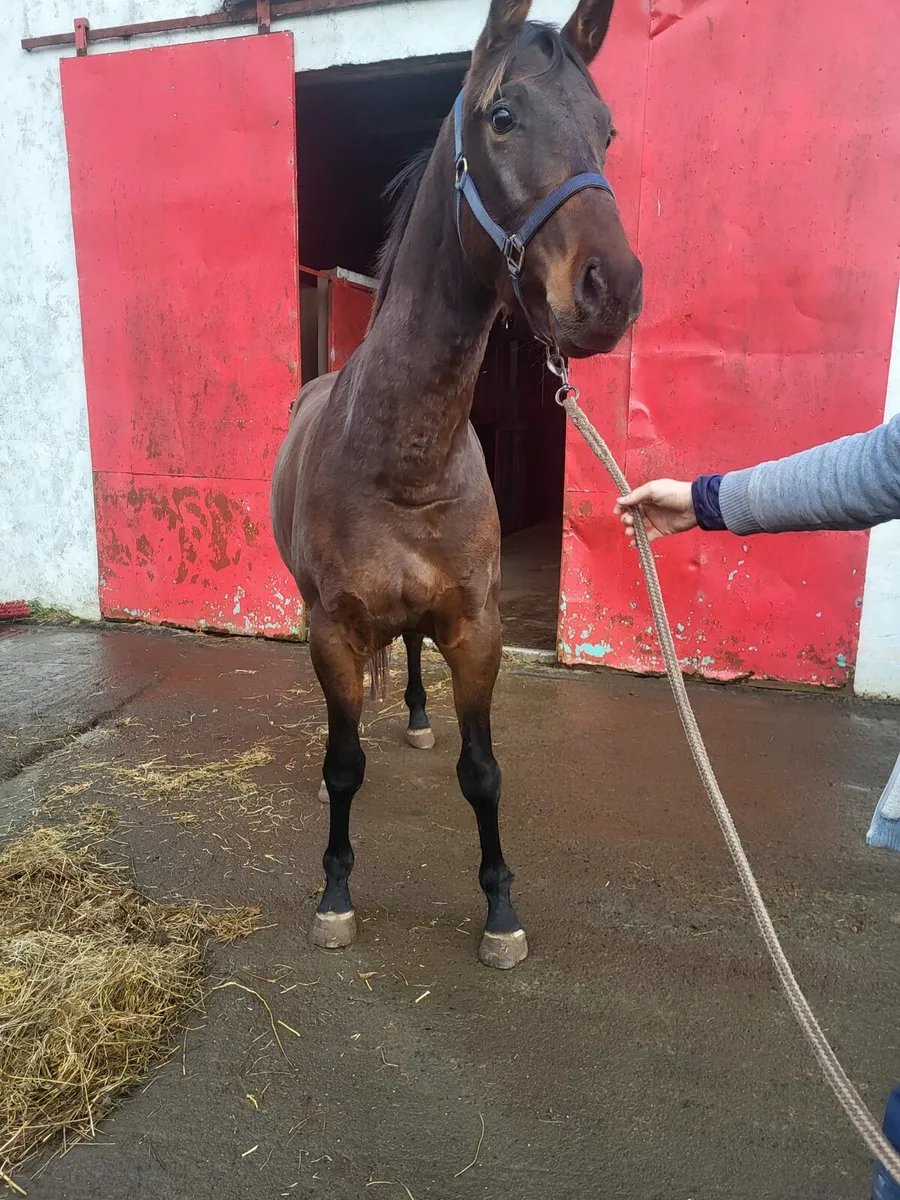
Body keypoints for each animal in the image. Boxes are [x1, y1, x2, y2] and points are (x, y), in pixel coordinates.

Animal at [271, 0, 643, 970]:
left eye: (608, 129)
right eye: (502, 116)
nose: (615, 289)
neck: (404, 453)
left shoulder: (476, 630)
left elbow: (482, 773)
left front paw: (501, 911)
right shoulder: (334, 630)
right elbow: (342, 766)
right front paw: (335, 896)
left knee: (407, 657)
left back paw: (411, 715)